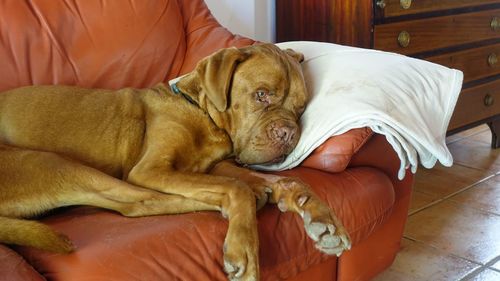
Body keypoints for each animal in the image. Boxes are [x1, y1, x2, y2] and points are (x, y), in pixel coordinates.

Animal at [0, 42, 350, 278]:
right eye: (261, 95)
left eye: (301, 108)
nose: (289, 133)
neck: (201, 113)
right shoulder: (153, 170)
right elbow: (234, 186)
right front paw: (245, 250)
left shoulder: (217, 166)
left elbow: (284, 179)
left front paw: (319, 215)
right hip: (52, 163)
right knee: (138, 204)